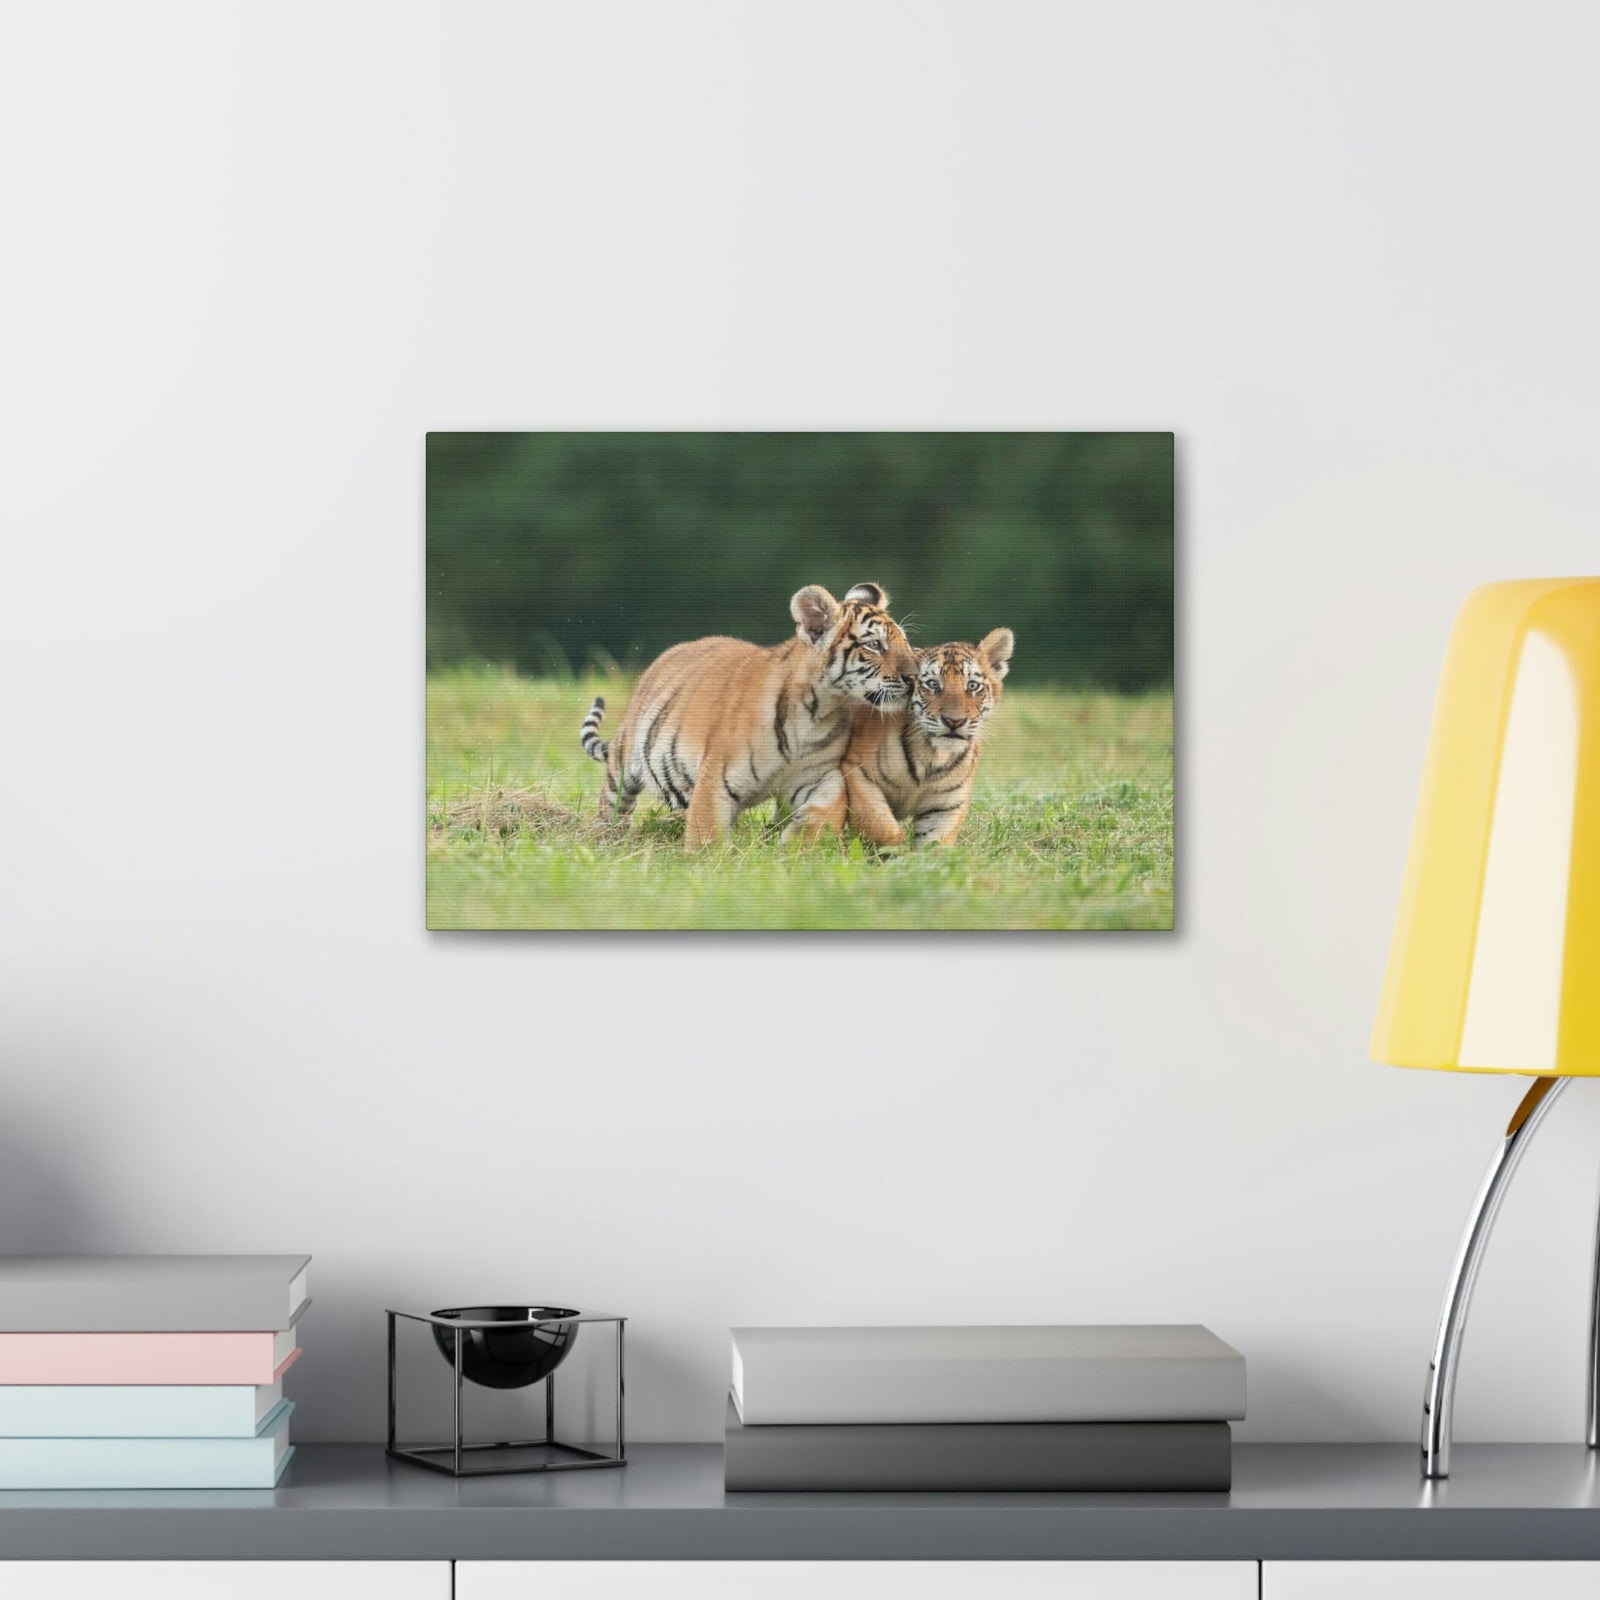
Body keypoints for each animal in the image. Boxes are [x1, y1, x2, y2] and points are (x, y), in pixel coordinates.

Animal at [579, 582, 917, 847]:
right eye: (874, 645)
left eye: (905, 641)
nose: (914, 677)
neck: (819, 710)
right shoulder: (715, 778)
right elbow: (707, 835)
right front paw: (709, 865)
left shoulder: (819, 774)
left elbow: (830, 807)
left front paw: (800, 844)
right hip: (624, 765)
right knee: (613, 805)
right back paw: (606, 839)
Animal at [842, 629, 1015, 846]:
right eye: (933, 684)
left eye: (972, 686)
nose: (954, 721)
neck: (932, 756)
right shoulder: (858, 773)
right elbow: (879, 825)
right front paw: (896, 848)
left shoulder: (946, 806)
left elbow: (934, 845)